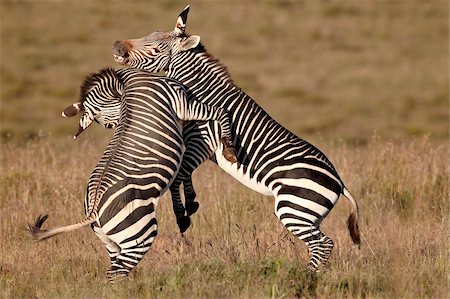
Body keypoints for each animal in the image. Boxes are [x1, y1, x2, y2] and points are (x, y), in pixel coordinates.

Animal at [27, 67, 239, 282]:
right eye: (107, 124)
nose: (115, 126)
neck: (127, 81)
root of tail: (94, 211)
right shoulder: (183, 104)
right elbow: (221, 112)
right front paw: (230, 149)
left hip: (111, 241)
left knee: (114, 268)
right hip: (138, 233)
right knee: (116, 273)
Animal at [110, 4, 360, 274]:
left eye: (155, 47)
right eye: (150, 33)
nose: (116, 46)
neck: (205, 94)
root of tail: (339, 183)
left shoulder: (202, 141)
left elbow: (179, 176)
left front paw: (182, 215)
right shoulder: (199, 147)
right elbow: (185, 176)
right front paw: (191, 204)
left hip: (294, 207)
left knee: (323, 244)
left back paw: (307, 277)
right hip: (307, 214)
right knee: (320, 244)